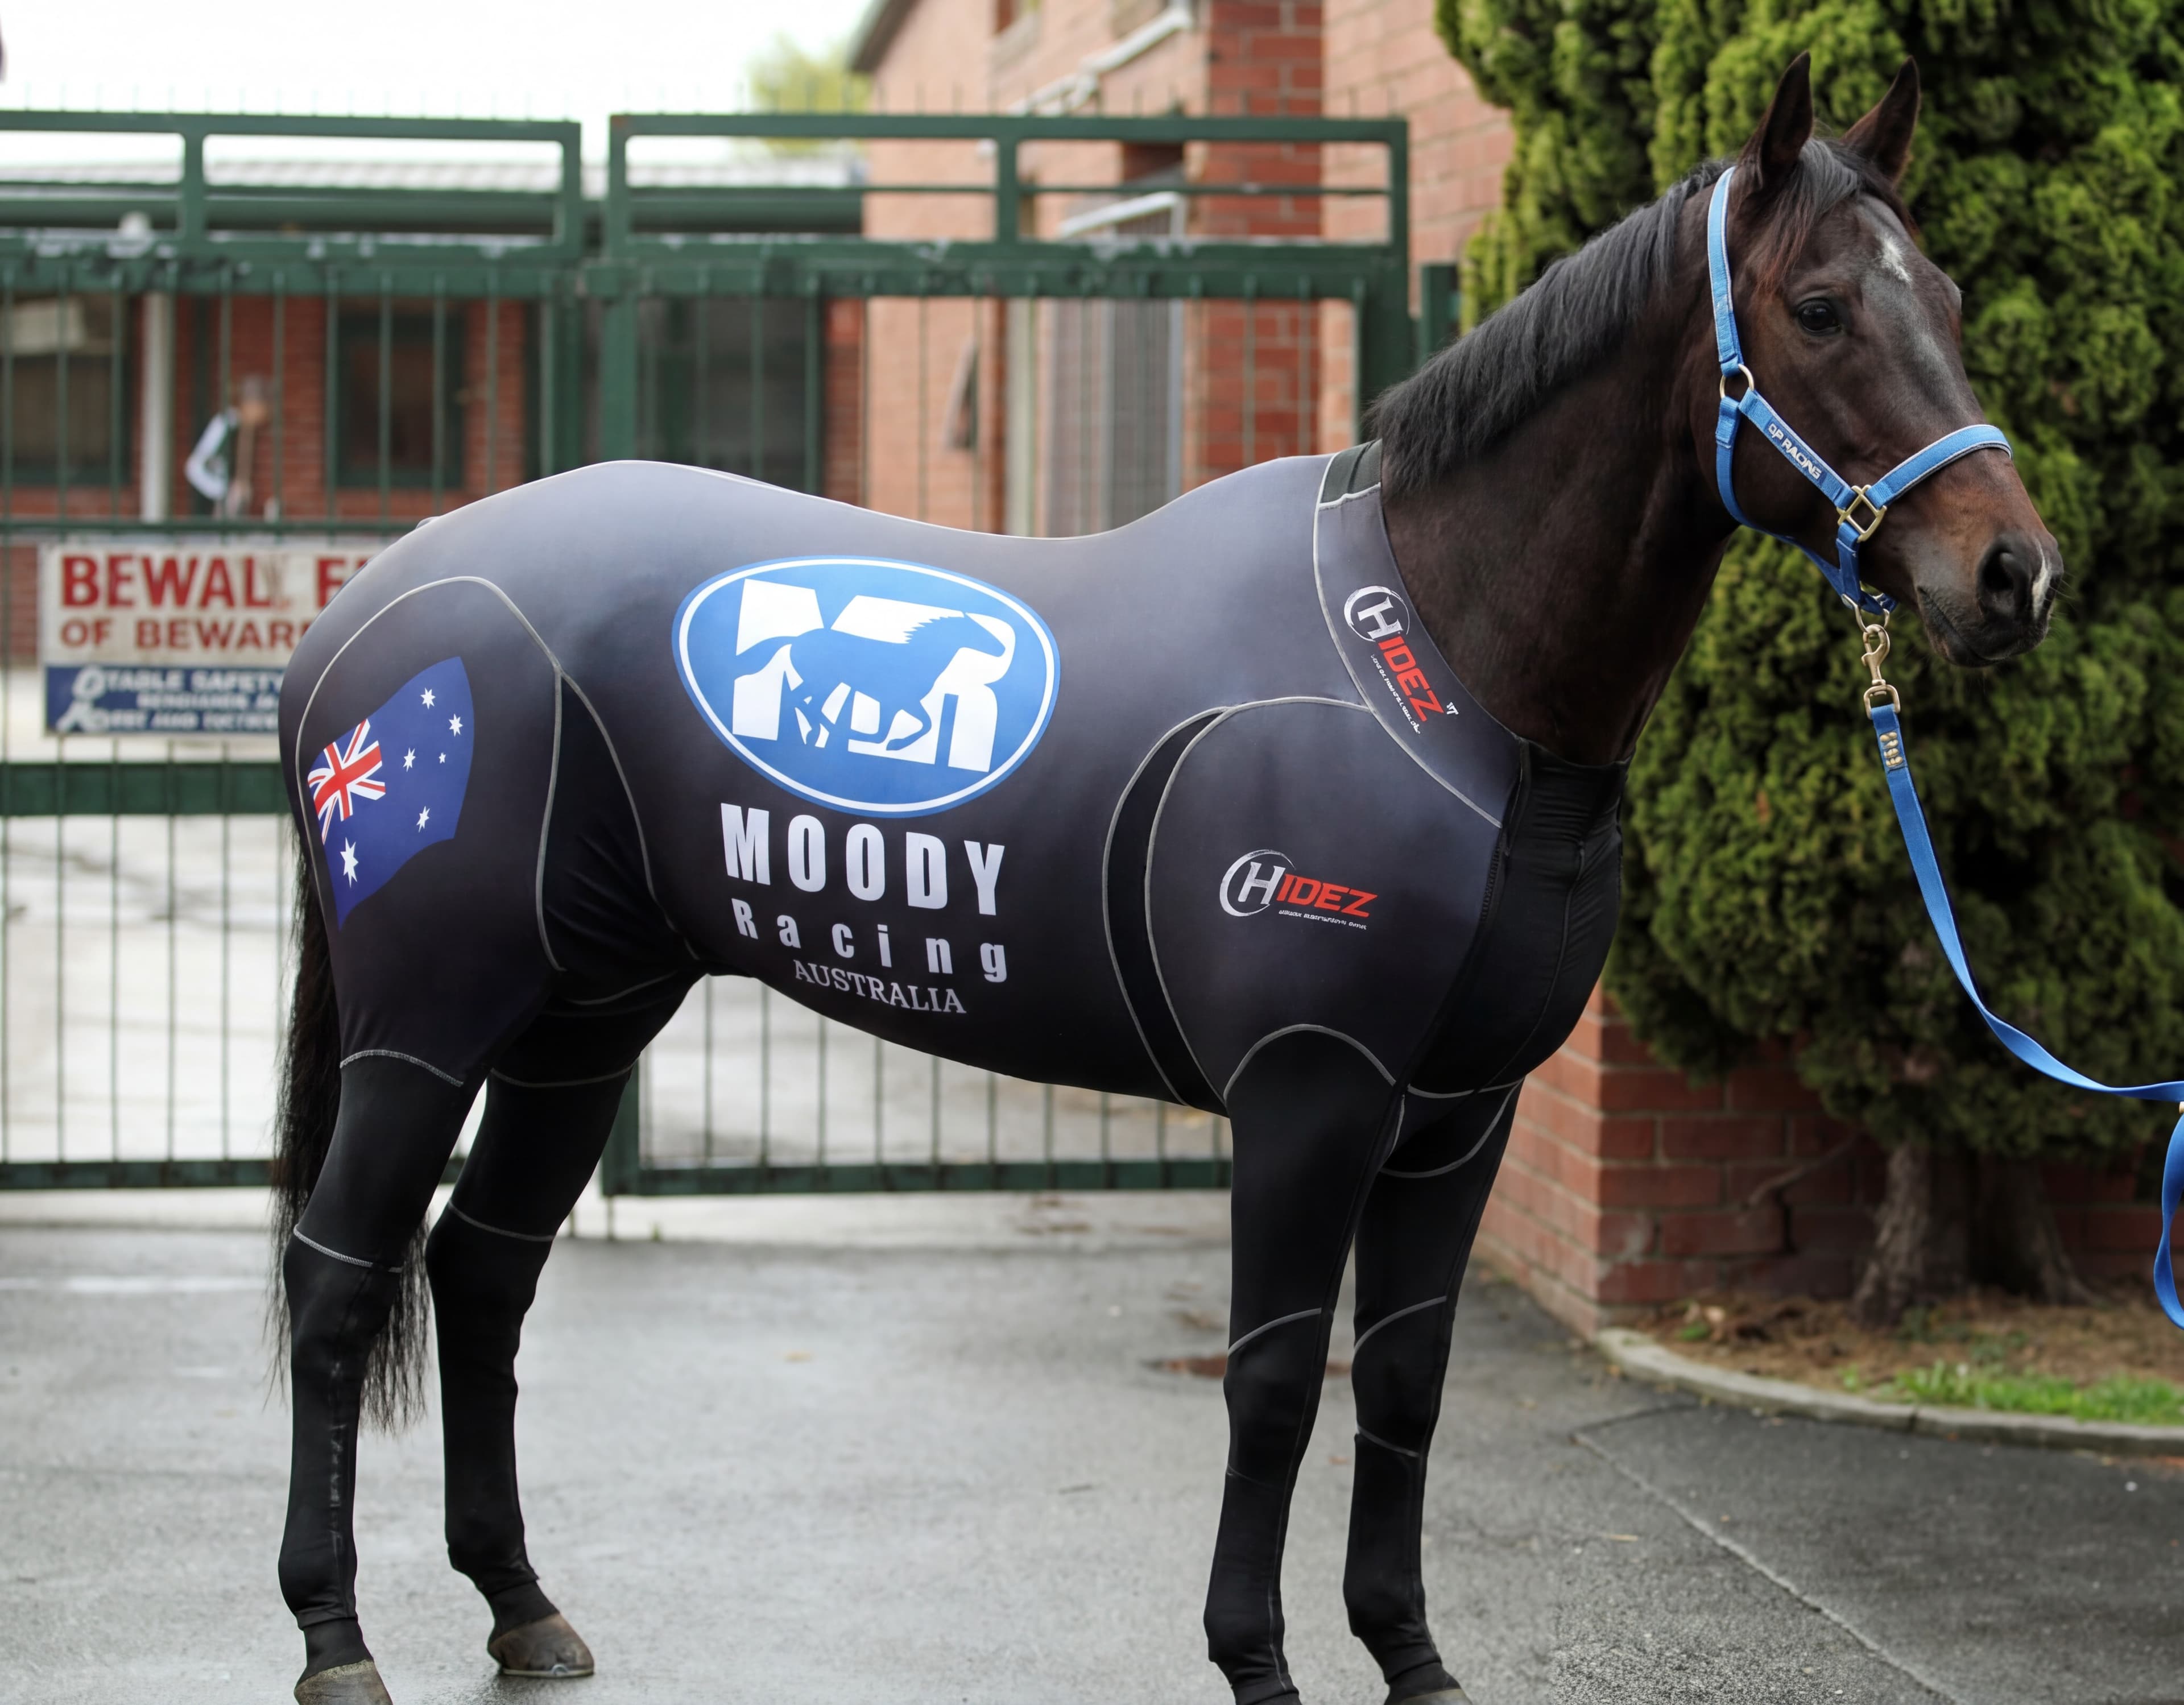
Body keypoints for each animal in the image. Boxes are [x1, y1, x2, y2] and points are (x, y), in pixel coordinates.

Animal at [268, 55, 2057, 1705]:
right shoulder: (1311, 1094)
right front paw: (1255, 1660)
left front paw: (1410, 1655)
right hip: (428, 1021)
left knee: (483, 1269)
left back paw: (521, 1606)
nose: (2011, 574)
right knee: (338, 1272)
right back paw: (336, 1636)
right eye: (1819, 308)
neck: (1443, 665)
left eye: (1949, 298)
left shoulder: (1459, 1117)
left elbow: (1404, 1383)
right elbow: (1270, 1382)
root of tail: (359, 611)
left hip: (583, 1018)